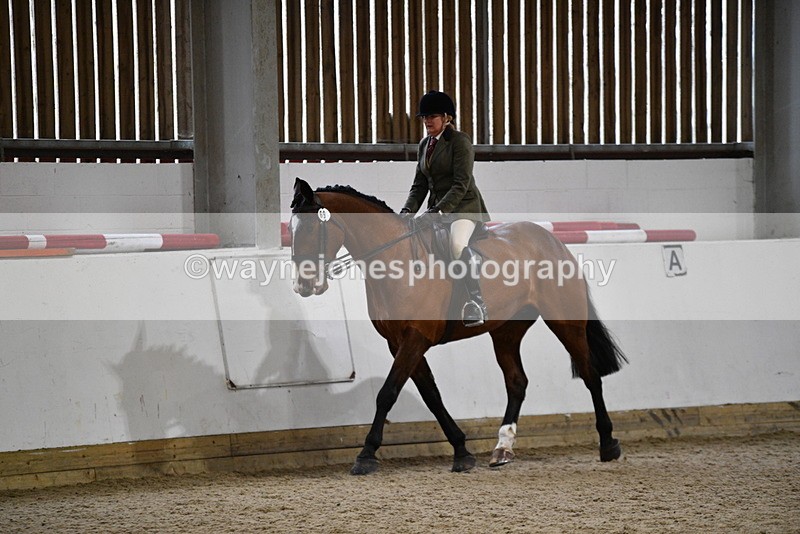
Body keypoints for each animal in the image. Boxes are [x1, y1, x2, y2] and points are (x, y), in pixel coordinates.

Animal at [289, 178, 627, 475]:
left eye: (310, 227)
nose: (303, 286)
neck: (396, 261)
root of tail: (553, 242)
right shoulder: (400, 342)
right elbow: (432, 397)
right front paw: (462, 451)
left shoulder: (415, 338)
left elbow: (388, 393)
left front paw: (366, 455)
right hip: (506, 331)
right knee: (517, 382)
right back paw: (502, 449)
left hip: (565, 321)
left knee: (590, 375)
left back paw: (608, 444)